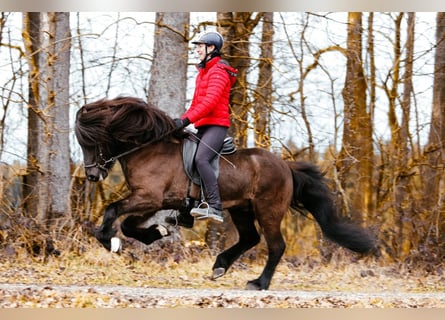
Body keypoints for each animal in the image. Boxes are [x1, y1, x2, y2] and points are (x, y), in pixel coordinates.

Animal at [73, 95, 374, 290]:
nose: (92, 175)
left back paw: (259, 283)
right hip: (241, 209)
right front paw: (156, 232)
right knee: (250, 238)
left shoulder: (149, 197)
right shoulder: (152, 201)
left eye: (91, 141)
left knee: (276, 245)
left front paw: (110, 241)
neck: (149, 148)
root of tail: (286, 166)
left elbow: (113, 210)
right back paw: (220, 265)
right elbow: (129, 224)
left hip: (268, 210)